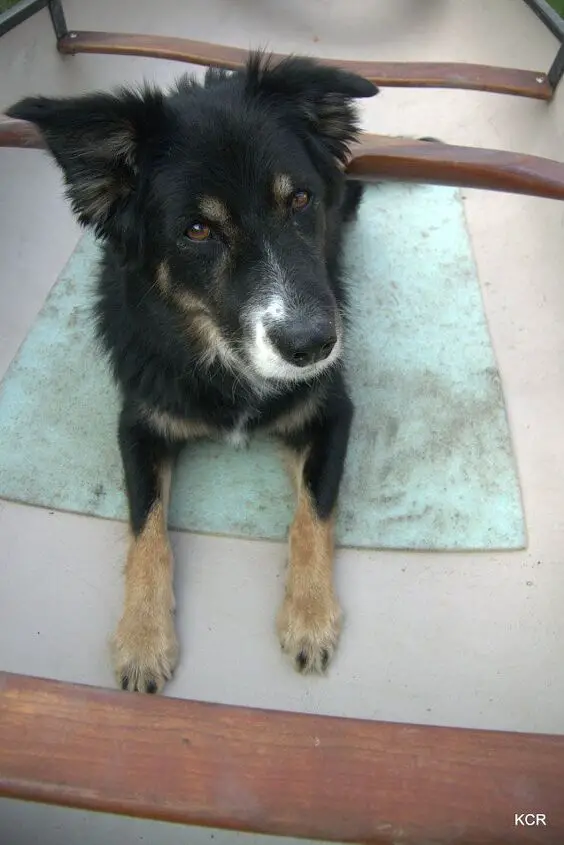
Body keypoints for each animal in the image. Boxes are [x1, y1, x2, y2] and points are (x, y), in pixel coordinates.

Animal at [6, 52, 376, 692]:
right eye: (197, 231)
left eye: (301, 200)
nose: (314, 346)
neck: (218, 351)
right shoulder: (139, 420)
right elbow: (146, 528)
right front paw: (142, 639)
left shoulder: (331, 410)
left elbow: (314, 510)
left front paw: (309, 616)